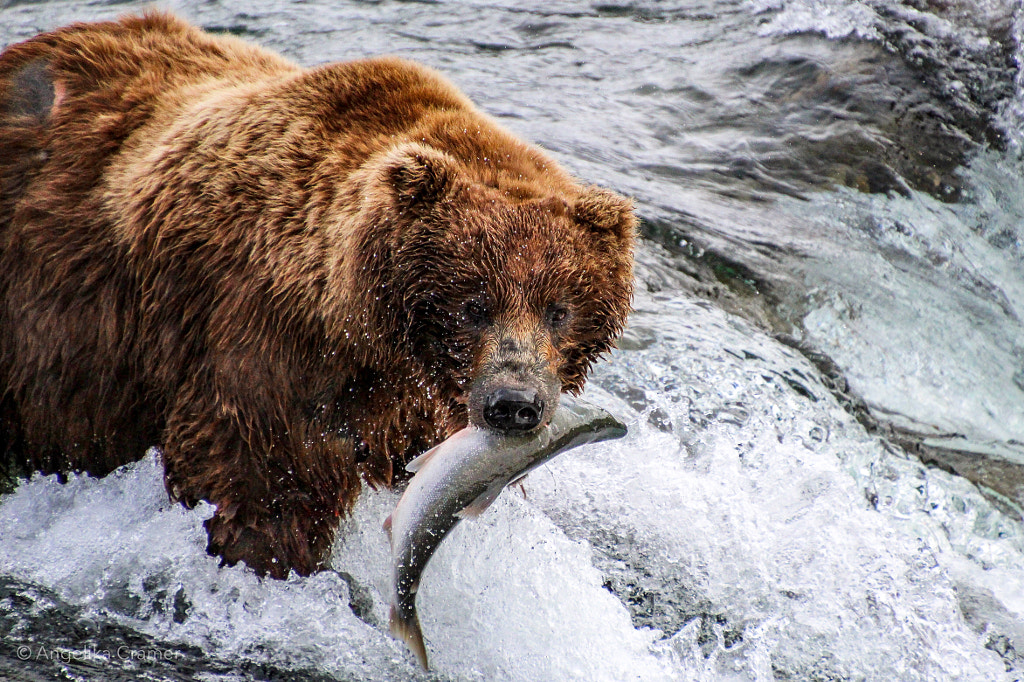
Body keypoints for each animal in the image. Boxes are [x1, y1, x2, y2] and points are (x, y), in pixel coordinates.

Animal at [0, 11, 634, 573]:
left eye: (559, 309)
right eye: (473, 304)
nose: (514, 403)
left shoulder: (417, 410)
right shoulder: (265, 353)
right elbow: (260, 491)